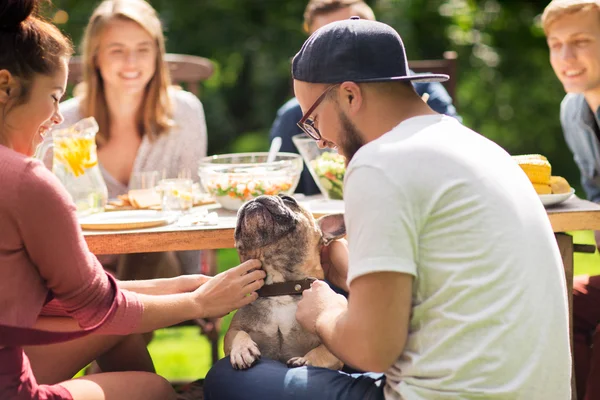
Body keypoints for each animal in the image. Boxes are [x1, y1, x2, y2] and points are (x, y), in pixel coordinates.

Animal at [224, 194, 346, 368]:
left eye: (289, 199)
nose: (256, 198)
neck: (280, 288)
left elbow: (325, 350)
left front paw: (307, 360)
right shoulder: (232, 330)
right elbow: (237, 333)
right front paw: (242, 349)